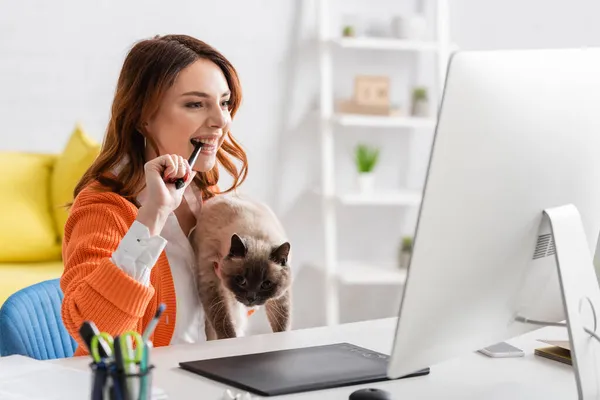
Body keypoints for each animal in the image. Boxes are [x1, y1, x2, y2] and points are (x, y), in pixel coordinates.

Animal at [191, 192, 292, 340]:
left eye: (266, 284)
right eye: (241, 280)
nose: (251, 298)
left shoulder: (280, 297)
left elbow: (282, 323)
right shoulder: (211, 283)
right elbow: (223, 323)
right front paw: (230, 341)